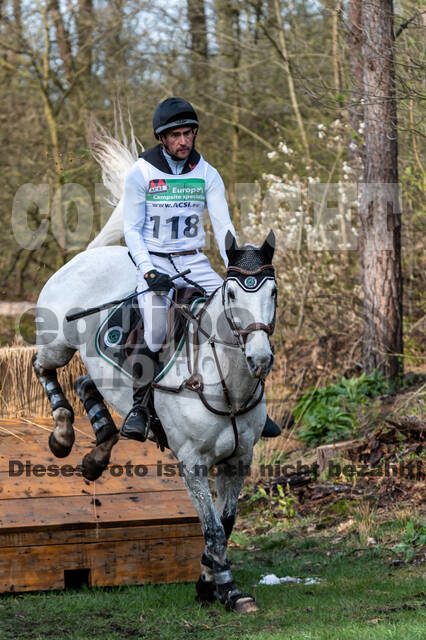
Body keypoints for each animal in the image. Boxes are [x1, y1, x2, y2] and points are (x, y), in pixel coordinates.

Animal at [33, 126, 276, 616]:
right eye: (233, 296)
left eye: (273, 293)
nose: (260, 359)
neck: (228, 385)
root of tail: (86, 256)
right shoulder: (193, 464)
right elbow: (213, 527)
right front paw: (226, 588)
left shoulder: (238, 462)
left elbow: (225, 524)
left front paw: (208, 581)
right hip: (56, 343)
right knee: (44, 369)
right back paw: (63, 436)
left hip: (101, 370)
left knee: (88, 382)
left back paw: (99, 451)